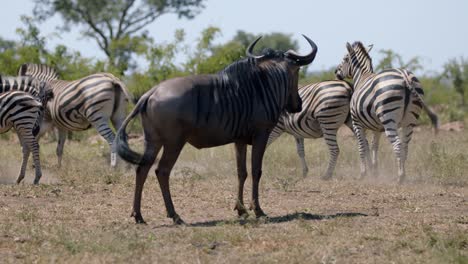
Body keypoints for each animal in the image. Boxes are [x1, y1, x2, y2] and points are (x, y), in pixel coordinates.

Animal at [114, 35, 318, 224]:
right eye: (297, 71)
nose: (298, 105)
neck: (263, 86)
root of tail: (151, 92)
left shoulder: (240, 140)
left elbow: (241, 172)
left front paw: (241, 209)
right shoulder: (261, 136)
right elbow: (256, 171)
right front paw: (258, 210)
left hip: (153, 141)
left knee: (142, 169)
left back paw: (138, 215)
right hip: (174, 143)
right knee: (162, 171)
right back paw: (175, 216)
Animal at [332, 41, 438, 184]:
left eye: (345, 59)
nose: (336, 72)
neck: (362, 78)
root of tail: (405, 76)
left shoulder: (356, 122)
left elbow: (361, 146)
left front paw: (363, 174)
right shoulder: (377, 127)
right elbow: (374, 146)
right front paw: (375, 172)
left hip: (389, 118)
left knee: (398, 144)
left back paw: (400, 177)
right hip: (410, 120)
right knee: (405, 146)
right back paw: (403, 174)